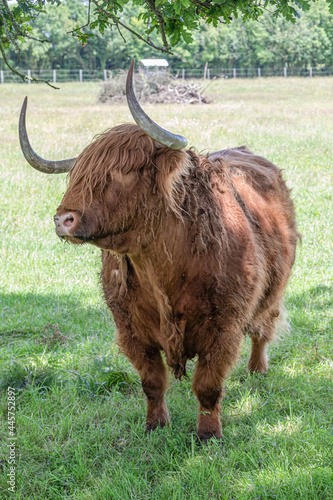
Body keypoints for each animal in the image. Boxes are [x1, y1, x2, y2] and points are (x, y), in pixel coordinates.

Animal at [18, 60, 298, 440]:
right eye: (77, 174)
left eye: (124, 171)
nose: (63, 219)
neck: (163, 267)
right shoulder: (131, 330)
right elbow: (151, 382)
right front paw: (155, 424)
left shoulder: (224, 327)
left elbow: (208, 385)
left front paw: (208, 434)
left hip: (272, 292)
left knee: (262, 330)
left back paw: (257, 370)